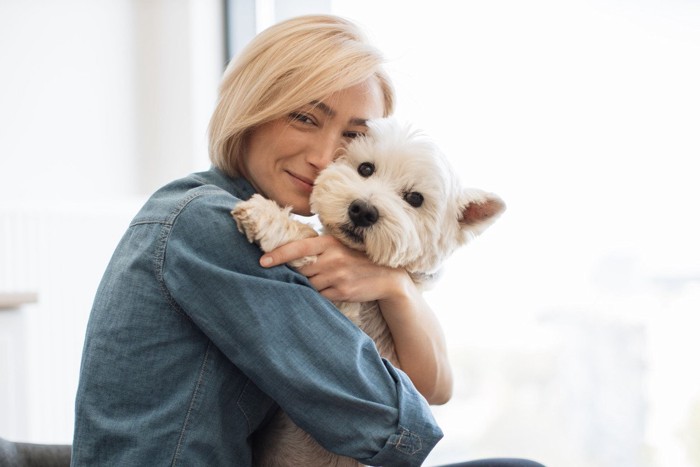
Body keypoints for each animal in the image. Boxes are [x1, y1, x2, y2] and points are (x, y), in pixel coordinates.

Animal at [232, 119, 506, 466]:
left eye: (415, 198)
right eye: (365, 168)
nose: (363, 210)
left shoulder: (346, 311)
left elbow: (308, 240)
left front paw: (263, 214)